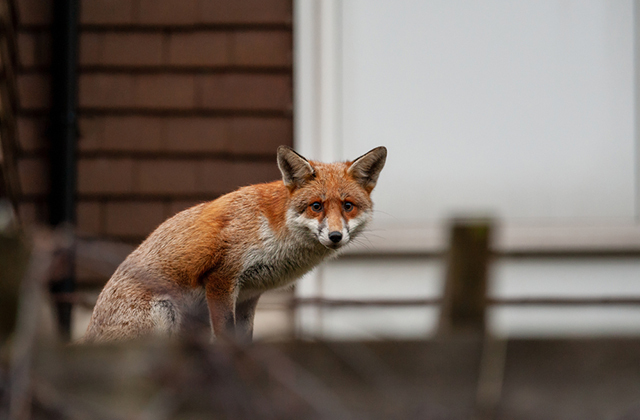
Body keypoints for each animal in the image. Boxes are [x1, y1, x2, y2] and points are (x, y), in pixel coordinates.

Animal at [82, 146, 388, 342]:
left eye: (348, 206)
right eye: (316, 206)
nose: (335, 236)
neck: (275, 232)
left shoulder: (249, 296)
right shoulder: (222, 278)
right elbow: (226, 338)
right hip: (165, 315)